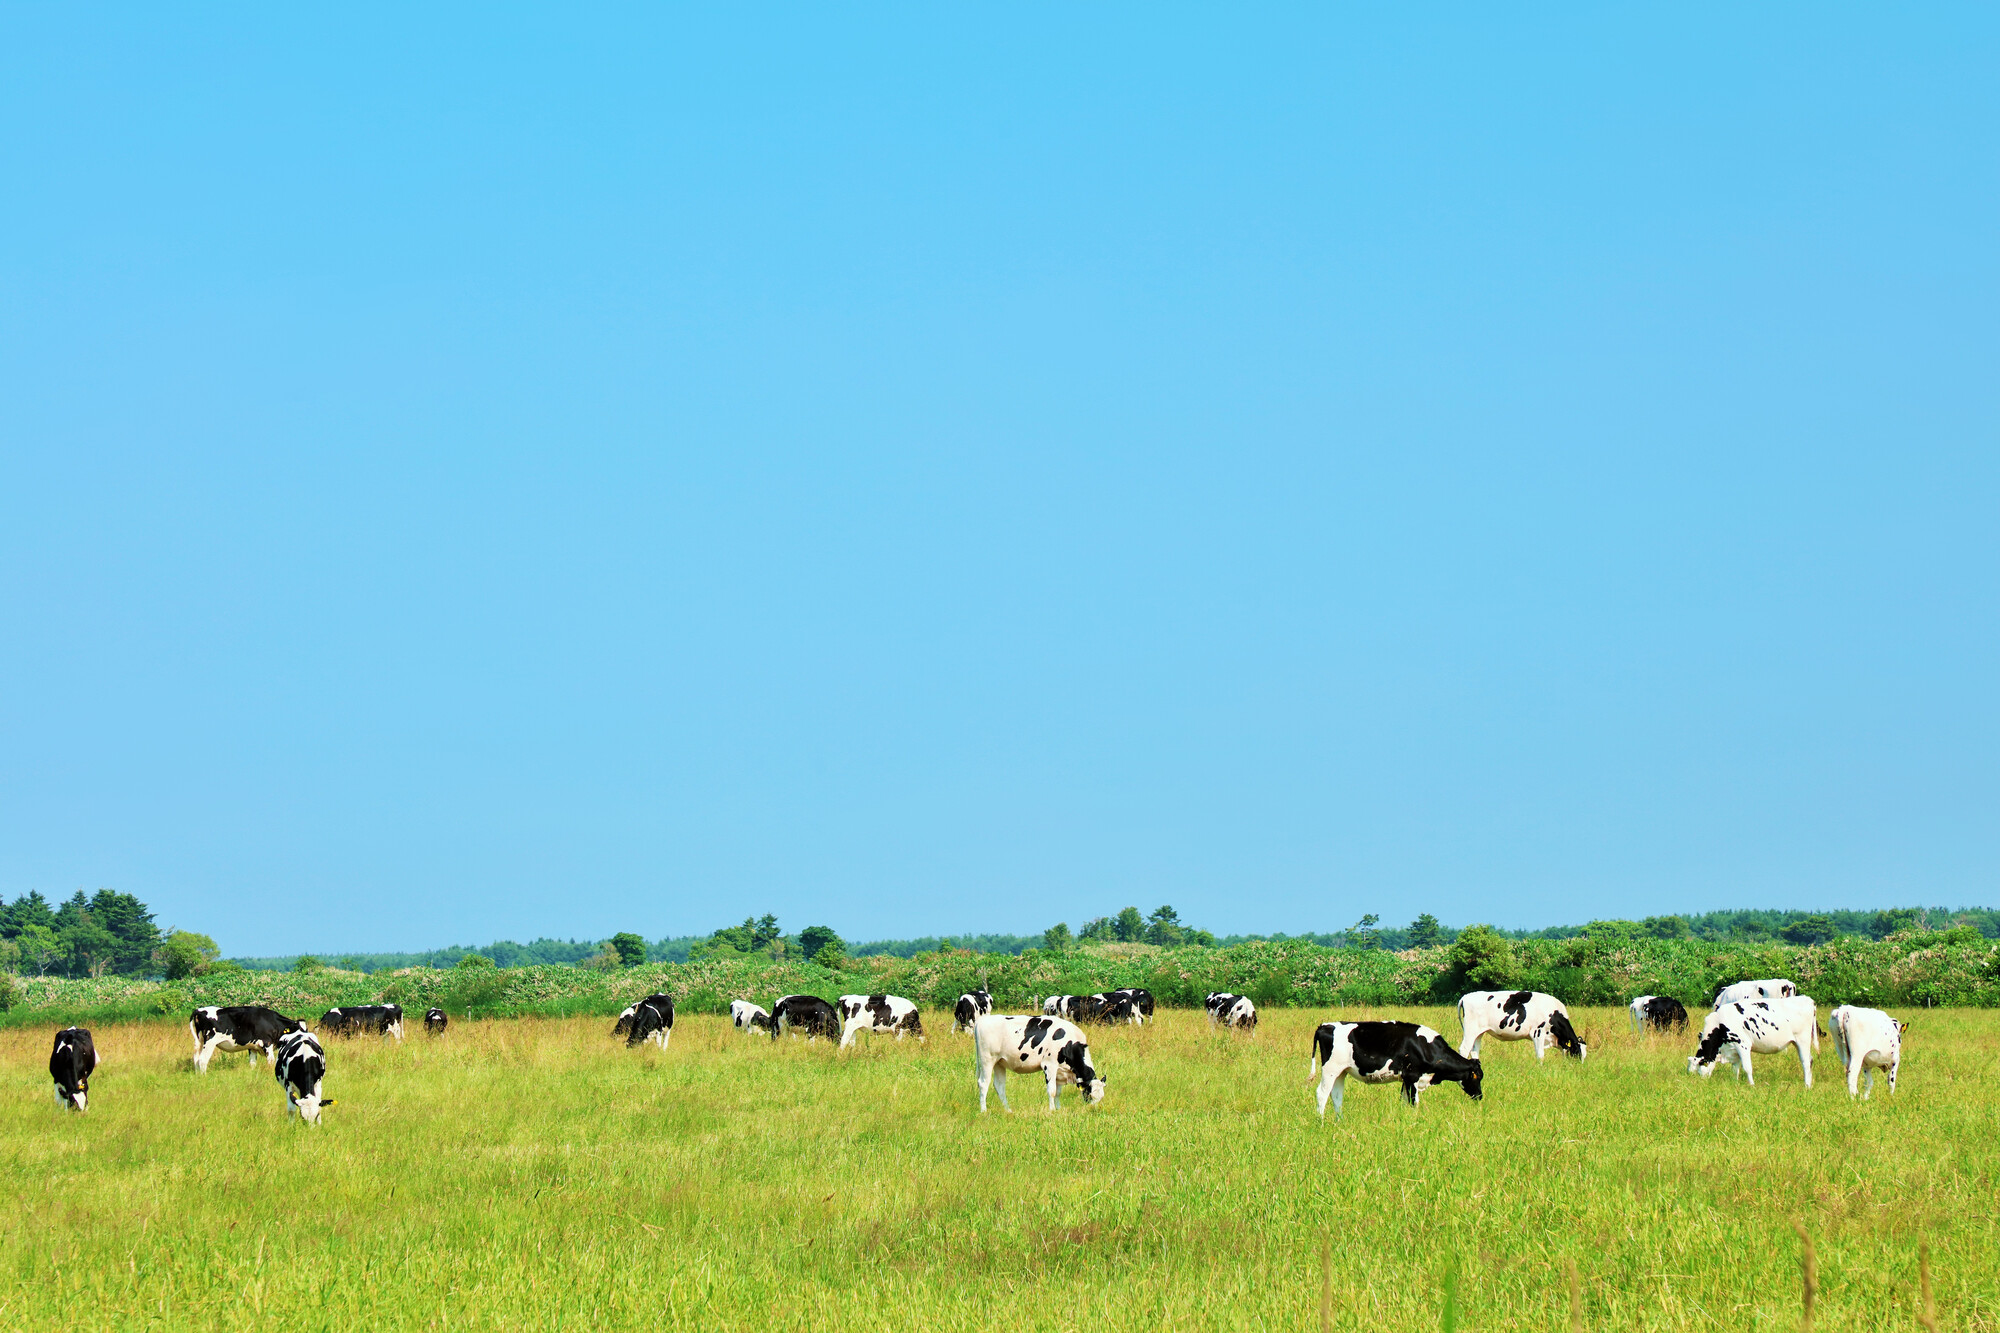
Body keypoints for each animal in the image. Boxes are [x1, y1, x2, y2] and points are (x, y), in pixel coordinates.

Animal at [972, 1012, 1112, 1104]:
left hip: (999, 1063)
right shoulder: (1049, 1065)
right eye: (1090, 1095)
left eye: (1100, 1098)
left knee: (999, 1086)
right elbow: (1052, 1091)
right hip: (987, 1060)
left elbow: (1058, 1093)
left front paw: (1058, 1110)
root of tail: (981, 1021)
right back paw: (984, 1112)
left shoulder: (1060, 1072)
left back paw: (1008, 1111)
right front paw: (1052, 1112)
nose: (1092, 1110)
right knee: (983, 1084)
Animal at [1312, 1016, 1488, 1112]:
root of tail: (1325, 1025)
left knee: (1336, 1096)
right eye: (1476, 1077)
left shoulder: (1406, 1079)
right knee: (1322, 1093)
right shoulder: (1412, 1076)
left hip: (1341, 1072)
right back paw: (1322, 1123)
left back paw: (1339, 1122)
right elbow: (1413, 1102)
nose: (1480, 1097)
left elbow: (1404, 1102)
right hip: (1330, 1069)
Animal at [1456, 984, 1592, 1056]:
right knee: (1464, 1049)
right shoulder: (1538, 1033)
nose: (1579, 1068)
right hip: (1470, 1030)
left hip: (1479, 1032)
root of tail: (1465, 997)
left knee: (1474, 1050)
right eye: (1577, 1052)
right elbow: (1540, 1055)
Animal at [1680, 992, 1824, 1088]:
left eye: (1699, 1070)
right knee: (1810, 1060)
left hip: (1802, 1040)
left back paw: (1806, 1086)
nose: (1699, 1084)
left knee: (1806, 1062)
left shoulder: (1743, 1044)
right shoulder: (1733, 1049)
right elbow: (1735, 1069)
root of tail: (1807, 999)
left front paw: (1752, 1085)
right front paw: (1735, 1083)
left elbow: (1747, 1067)